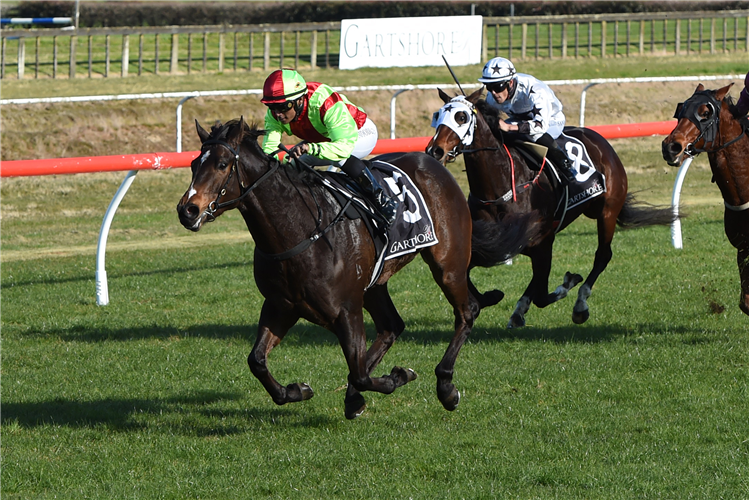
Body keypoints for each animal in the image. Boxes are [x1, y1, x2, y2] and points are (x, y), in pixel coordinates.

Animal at [178, 117, 536, 418]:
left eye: (222, 164)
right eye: (195, 163)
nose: (187, 210)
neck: (297, 231)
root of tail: (433, 162)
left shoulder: (346, 309)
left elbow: (362, 372)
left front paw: (397, 377)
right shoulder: (281, 306)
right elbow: (257, 361)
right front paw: (298, 390)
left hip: (448, 264)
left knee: (466, 311)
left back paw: (446, 387)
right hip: (376, 283)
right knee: (392, 326)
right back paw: (354, 397)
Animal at [424, 90, 676, 328]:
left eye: (461, 116)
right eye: (438, 115)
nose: (435, 151)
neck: (501, 187)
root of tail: (599, 139)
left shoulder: (542, 243)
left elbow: (543, 296)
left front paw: (568, 285)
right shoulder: (492, 244)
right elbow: (464, 274)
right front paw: (491, 297)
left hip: (607, 212)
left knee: (602, 255)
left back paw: (580, 303)